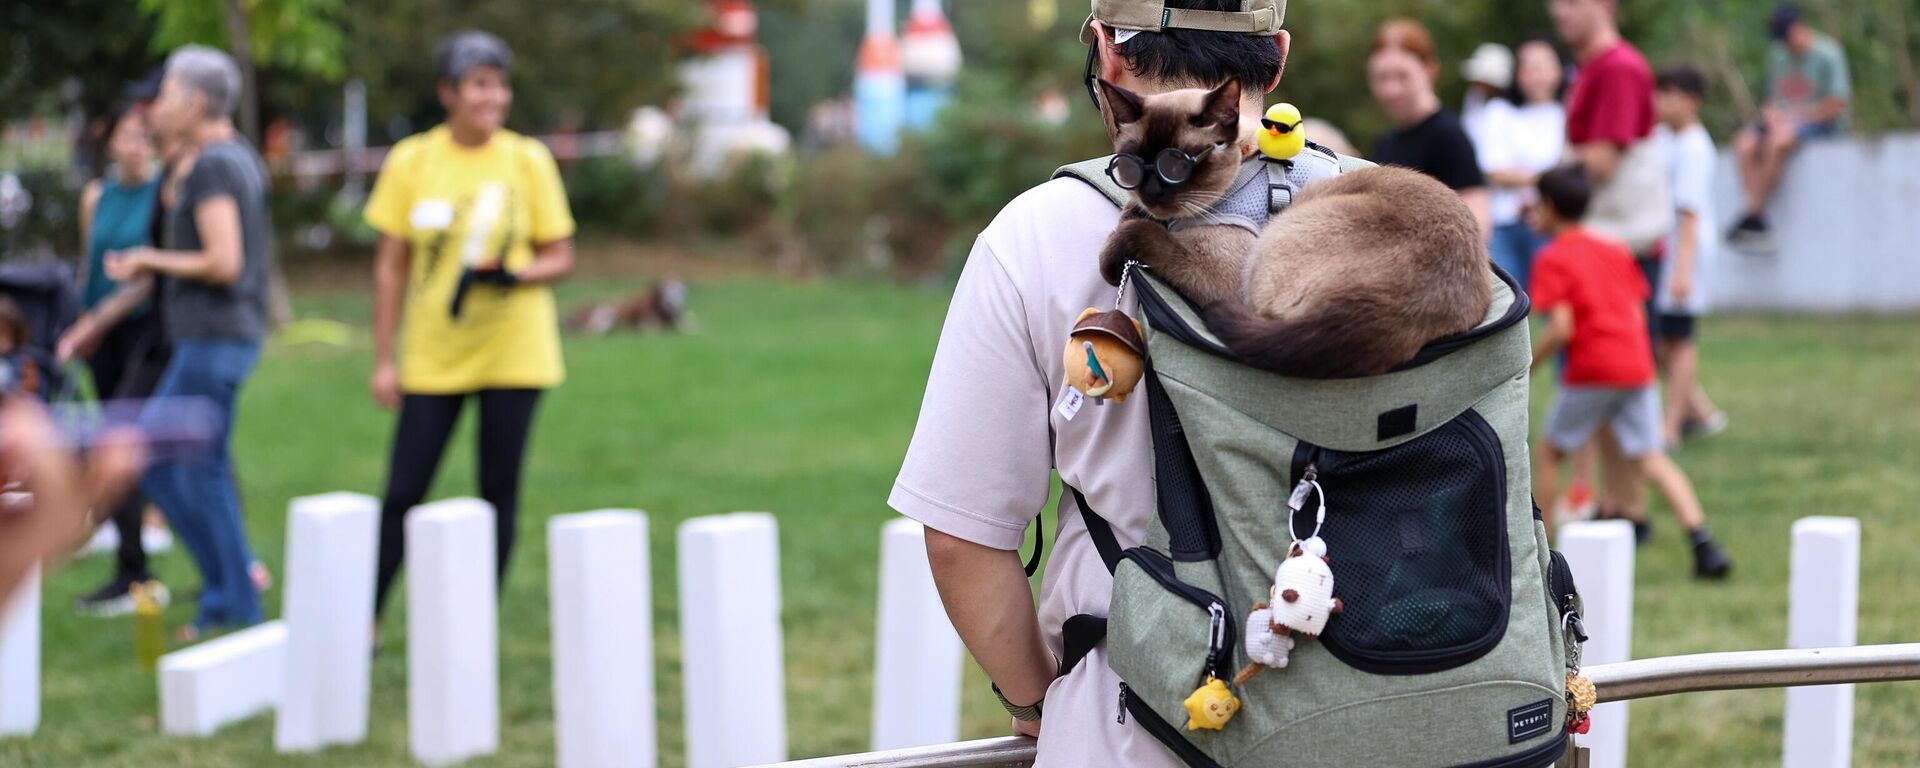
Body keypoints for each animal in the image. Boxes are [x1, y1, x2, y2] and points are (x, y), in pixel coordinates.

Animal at [1098, 79, 1482, 380]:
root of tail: (1391, 317)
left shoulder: (1220, 274)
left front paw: (1113, 259)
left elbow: (1143, 236)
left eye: (1175, 166)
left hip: (1277, 240)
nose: (1153, 193)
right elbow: (1132, 217)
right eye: (1131, 167)